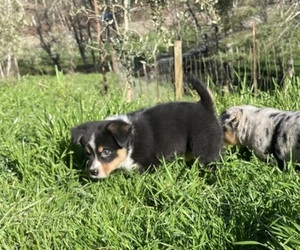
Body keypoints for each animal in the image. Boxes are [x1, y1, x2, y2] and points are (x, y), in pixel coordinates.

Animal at [71, 75, 223, 179]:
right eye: (87, 153)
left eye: (106, 152)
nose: (93, 172)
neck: (131, 141)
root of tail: (205, 107)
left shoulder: (150, 163)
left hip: (204, 146)